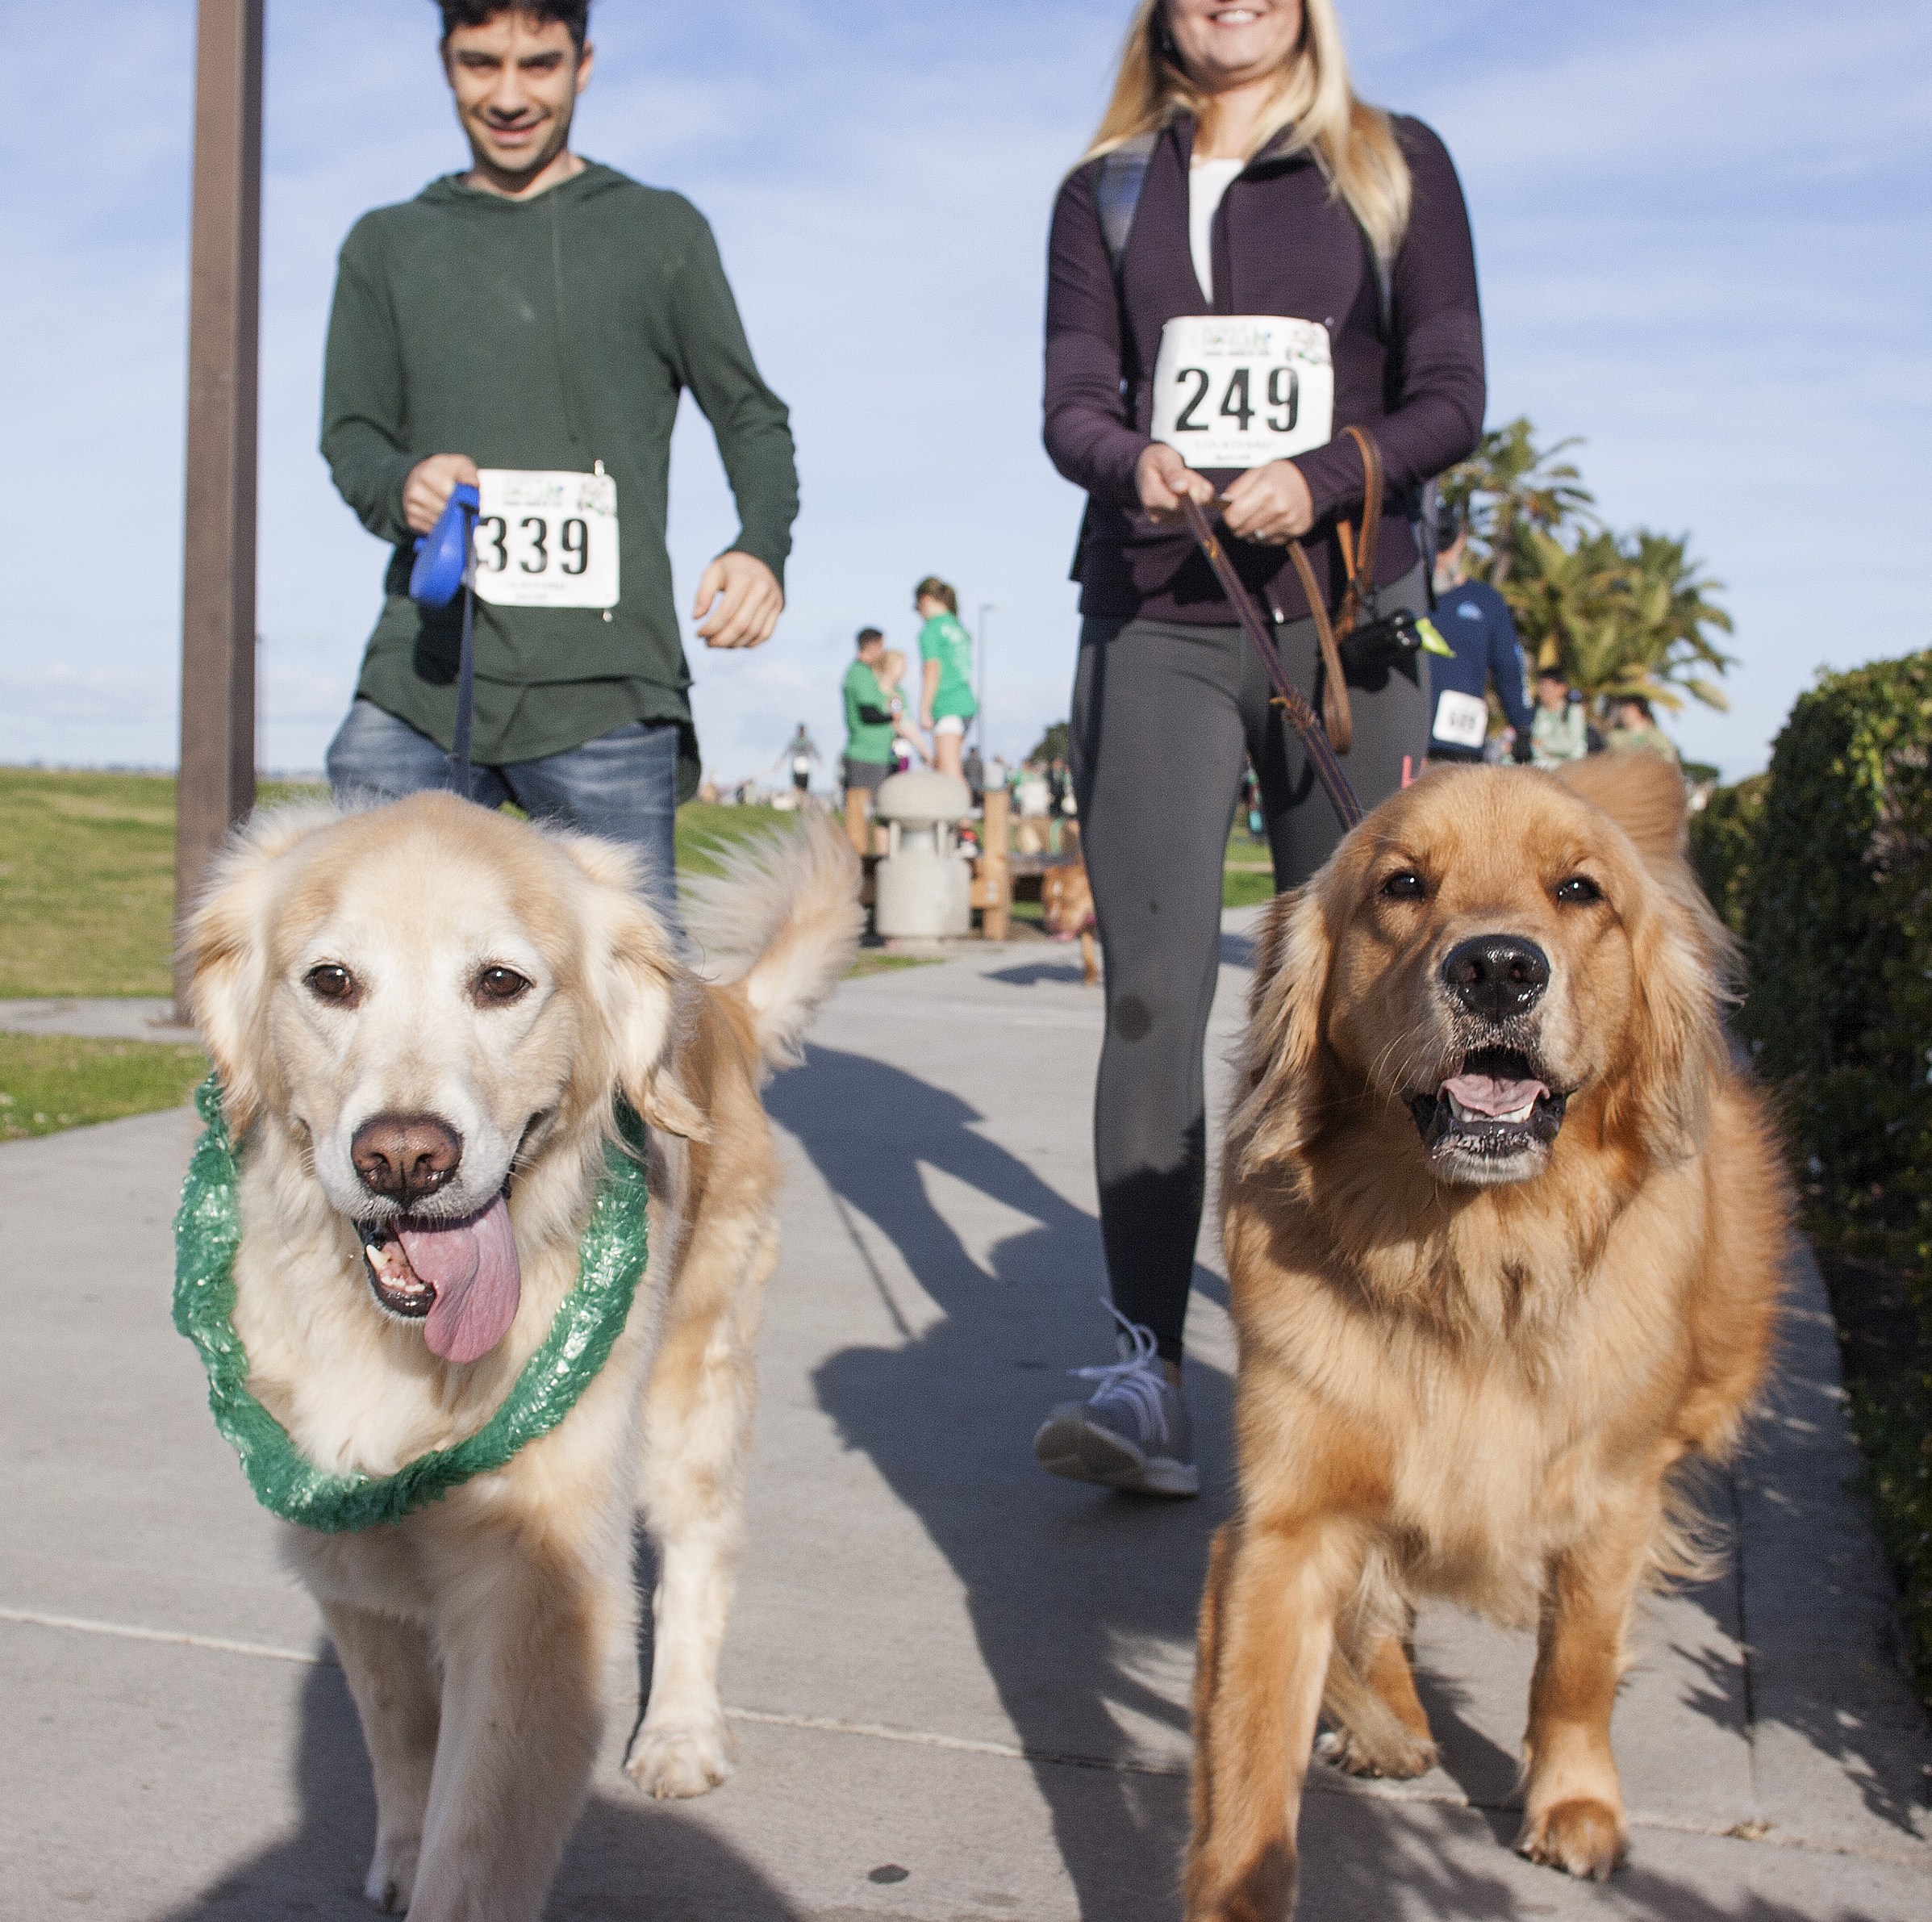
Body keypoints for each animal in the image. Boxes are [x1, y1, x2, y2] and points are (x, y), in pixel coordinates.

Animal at [182, 796, 862, 1922]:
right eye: (332, 980)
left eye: (500, 982)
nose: (405, 1159)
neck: (400, 1347)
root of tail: (718, 1003)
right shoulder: (341, 1547)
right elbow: (402, 1733)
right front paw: (401, 1853)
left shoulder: (533, 1595)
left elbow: (478, 1842)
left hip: (694, 1376)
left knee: (701, 1549)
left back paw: (680, 1731)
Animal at [1182, 757, 1784, 1916]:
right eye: (1403, 884)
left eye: (1579, 890)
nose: (1498, 968)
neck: (1469, 1263)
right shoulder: (1285, 1523)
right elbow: (1251, 1770)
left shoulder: (1611, 1492)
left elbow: (1576, 1660)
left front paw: (1575, 1801)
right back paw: (1388, 1722)